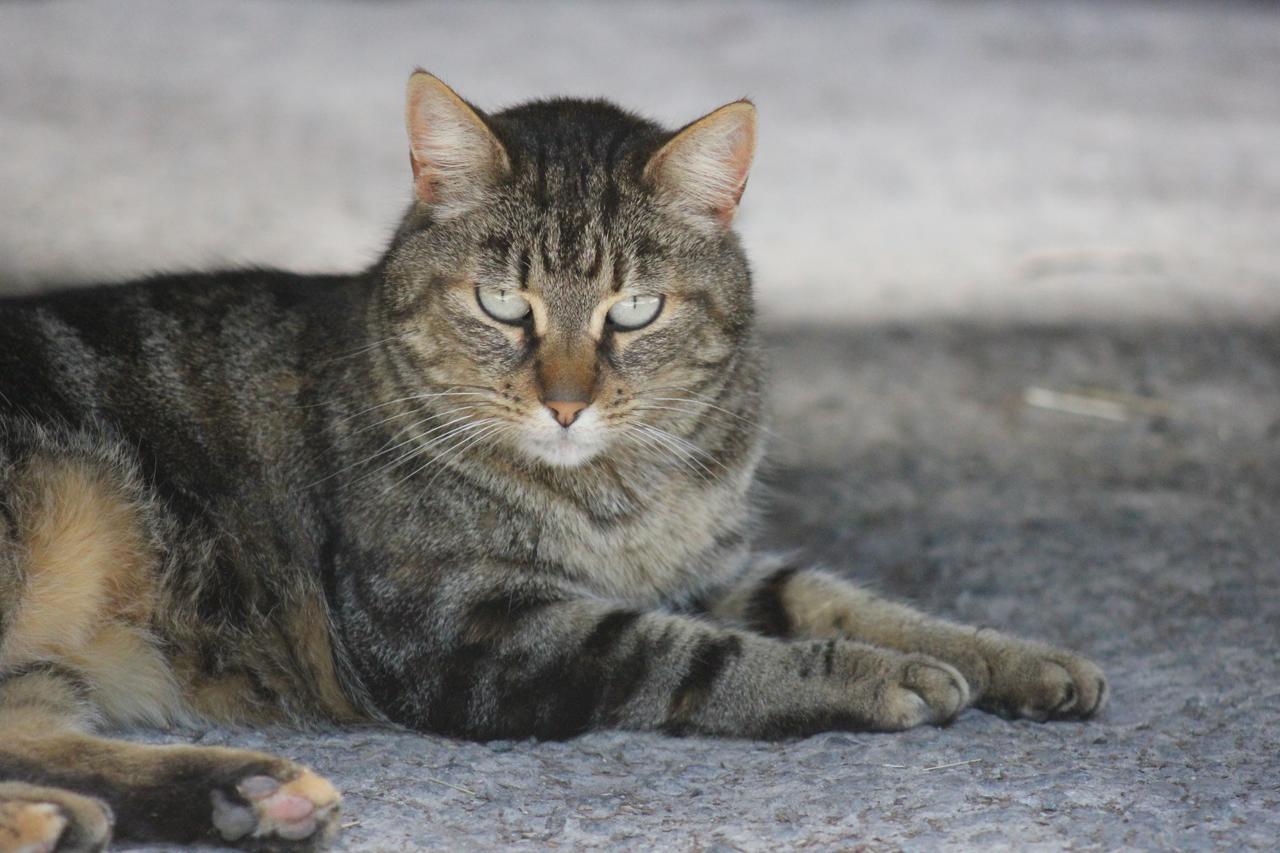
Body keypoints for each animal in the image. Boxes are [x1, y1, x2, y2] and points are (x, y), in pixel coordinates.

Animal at [0, 71, 1100, 845]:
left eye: (635, 310)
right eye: (502, 305)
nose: (566, 402)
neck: (619, 491)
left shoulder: (707, 569)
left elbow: (837, 597)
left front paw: (1014, 654)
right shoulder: (465, 629)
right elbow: (704, 654)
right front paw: (880, 675)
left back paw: (220, 792)